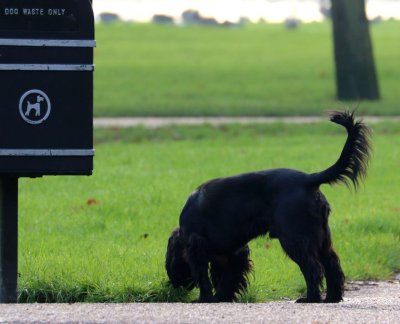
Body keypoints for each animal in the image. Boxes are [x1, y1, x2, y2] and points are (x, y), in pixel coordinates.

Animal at [164, 111, 370, 304]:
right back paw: (332, 298)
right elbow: (226, 278)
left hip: (295, 238)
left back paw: (311, 298)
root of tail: (309, 179)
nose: (173, 285)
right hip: (321, 237)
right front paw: (221, 297)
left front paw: (205, 298)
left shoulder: (197, 248)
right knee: (332, 265)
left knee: (314, 268)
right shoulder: (232, 253)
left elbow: (204, 277)